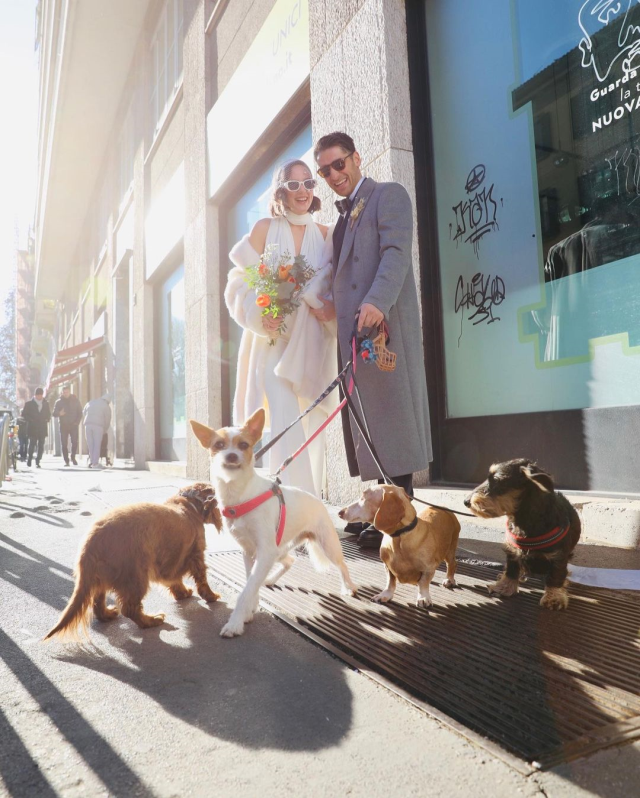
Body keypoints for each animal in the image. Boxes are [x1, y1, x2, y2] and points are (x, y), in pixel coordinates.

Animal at [43, 482, 221, 644]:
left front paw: (182, 593)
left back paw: (108, 614)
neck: (188, 503)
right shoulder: (196, 555)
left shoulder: (170, 562)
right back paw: (152, 620)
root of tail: (91, 540)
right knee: (130, 609)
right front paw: (211, 596)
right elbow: (202, 580)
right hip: (136, 576)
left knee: (98, 603)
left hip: (102, 576)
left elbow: (175, 581)